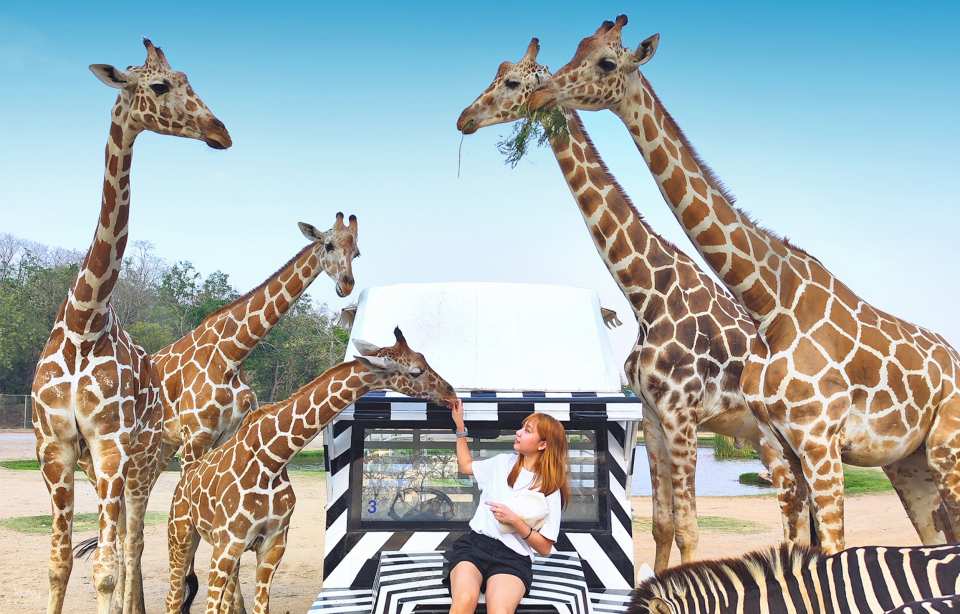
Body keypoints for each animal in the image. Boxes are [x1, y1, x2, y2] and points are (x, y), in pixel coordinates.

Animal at [30, 39, 231, 614]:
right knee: (121, 542)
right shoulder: (54, 447)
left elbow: (102, 570)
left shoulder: (111, 446)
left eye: (189, 79)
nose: (220, 131)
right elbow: (58, 564)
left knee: (129, 541)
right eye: (160, 85)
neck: (84, 320)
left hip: (135, 465)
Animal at [164, 327, 457, 614]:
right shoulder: (228, 543)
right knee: (174, 598)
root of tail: (183, 481)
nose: (451, 391)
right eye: (417, 370)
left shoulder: (272, 545)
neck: (272, 459)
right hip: (182, 537)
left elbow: (260, 607)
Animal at [456, 38, 808, 572]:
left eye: (512, 82)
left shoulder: (683, 416)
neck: (645, 291)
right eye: (495, 73)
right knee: (796, 504)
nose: (465, 117)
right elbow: (662, 525)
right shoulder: (653, 418)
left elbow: (688, 529)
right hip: (768, 437)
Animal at [529, 15, 960, 553]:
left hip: (945, 449)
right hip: (907, 460)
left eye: (606, 61)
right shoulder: (745, 434)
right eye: (575, 48)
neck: (771, 303)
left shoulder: (807, 439)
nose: (540, 94)